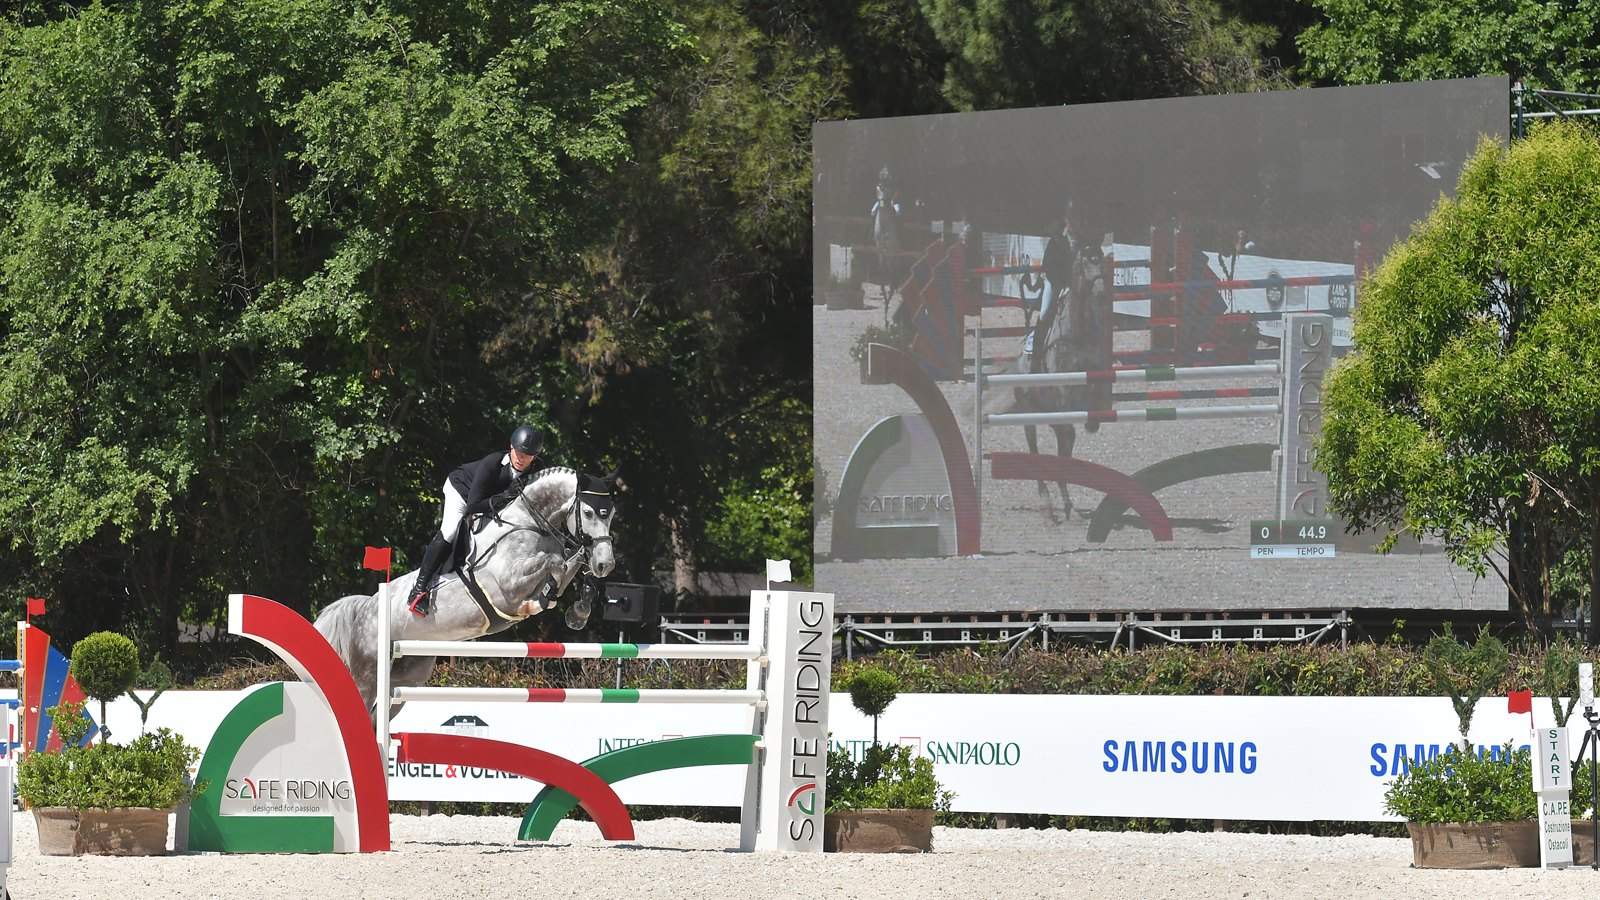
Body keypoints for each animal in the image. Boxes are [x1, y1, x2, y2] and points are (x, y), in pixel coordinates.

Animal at [315, 461, 614, 720]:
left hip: (407, 676)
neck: (530, 522)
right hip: (369, 672)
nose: (606, 564)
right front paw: (545, 602)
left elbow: (567, 566)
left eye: (611, 514)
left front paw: (578, 612)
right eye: (588, 513)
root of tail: (367, 606)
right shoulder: (508, 584)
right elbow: (556, 563)